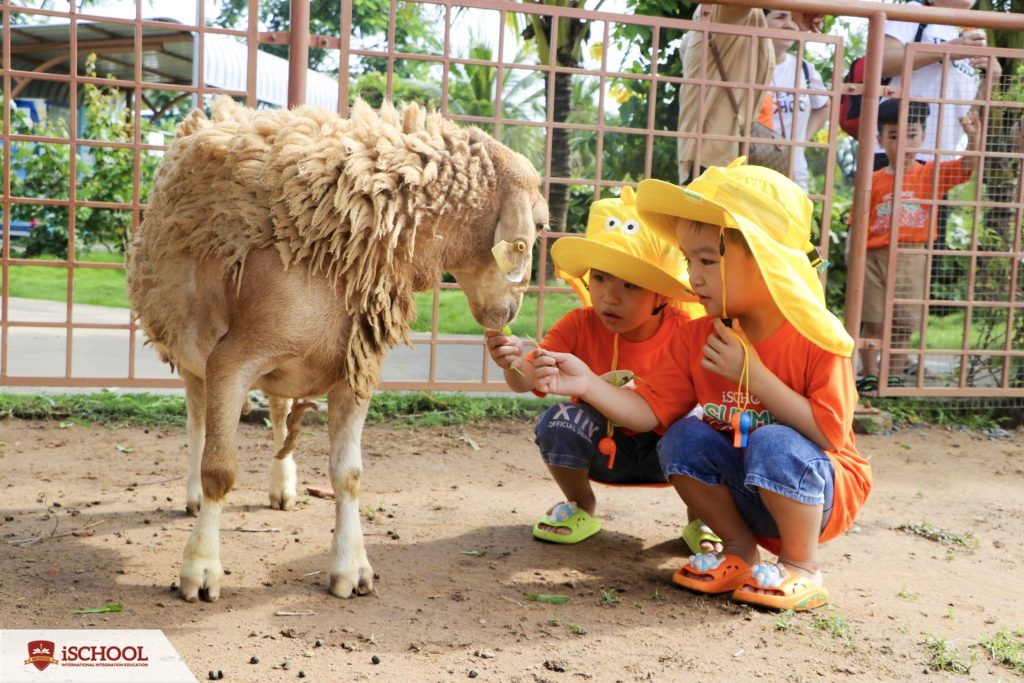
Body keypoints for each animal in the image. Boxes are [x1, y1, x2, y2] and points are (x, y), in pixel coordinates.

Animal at [128, 97, 548, 602]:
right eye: (538, 226)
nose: (512, 312)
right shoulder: (230, 362)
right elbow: (220, 470)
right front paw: (201, 568)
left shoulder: (355, 370)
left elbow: (349, 475)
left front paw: (351, 567)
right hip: (189, 350)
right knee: (195, 421)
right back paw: (192, 494)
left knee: (278, 409)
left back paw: (283, 486)